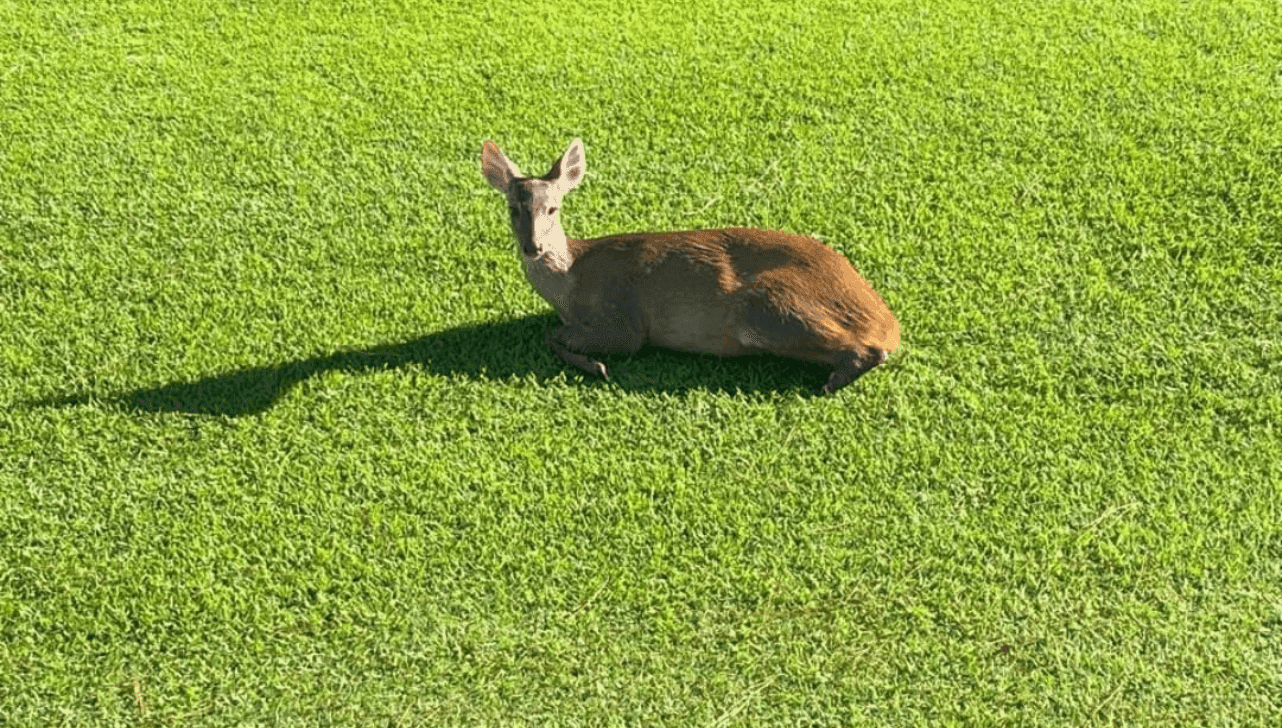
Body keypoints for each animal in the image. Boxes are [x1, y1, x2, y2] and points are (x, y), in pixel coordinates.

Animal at [480, 139, 900, 394]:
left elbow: (552, 335)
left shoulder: (623, 322)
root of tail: (887, 321)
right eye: (513, 209)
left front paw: (596, 366)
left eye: (553, 208)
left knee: (868, 351)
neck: (570, 285)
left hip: (770, 308)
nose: (532, 247)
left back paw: (830, 382)